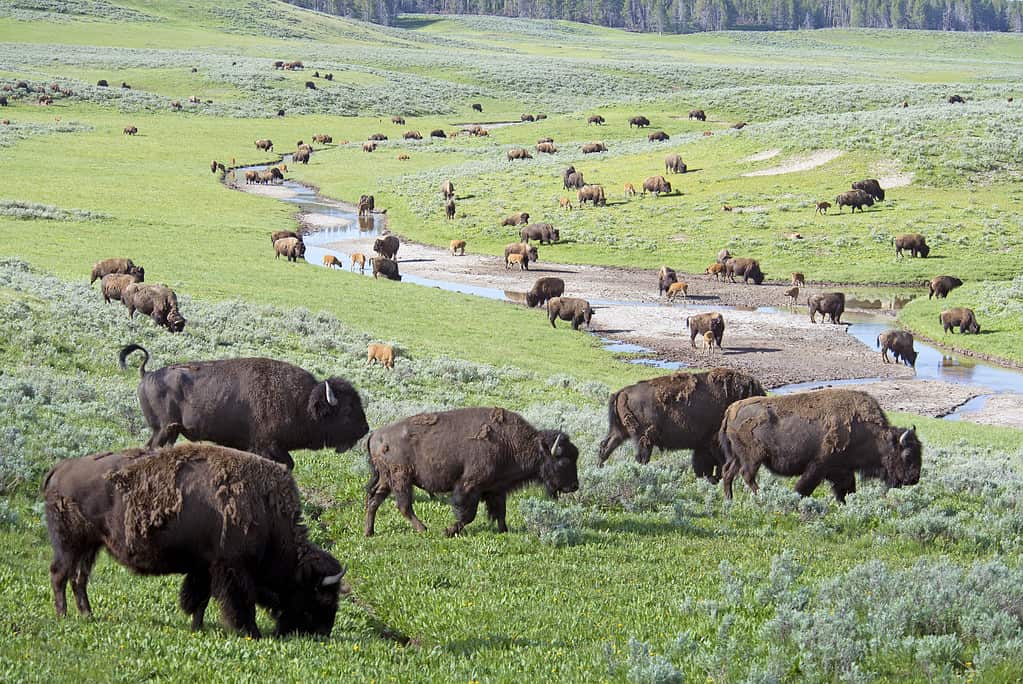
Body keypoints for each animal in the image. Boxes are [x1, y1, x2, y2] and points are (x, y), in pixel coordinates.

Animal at [42, 439, 347, 637]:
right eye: (321, 596)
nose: (322, 633)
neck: (267, 513)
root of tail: (59, 468)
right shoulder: (232, 569)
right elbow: (238, 602)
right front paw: (250, 631)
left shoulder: (204, 567)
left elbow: (199, 599)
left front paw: (197, 627)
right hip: (70, 545)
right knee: (59, 574)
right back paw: (62, 615)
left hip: (90, 546)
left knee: (78, 578)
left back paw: (87, 614)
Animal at [121, 341, 368, 470]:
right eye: (347, 410)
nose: (365, 429)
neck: (303, 402)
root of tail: (147, 374)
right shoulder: (267, 446)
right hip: (164, 429)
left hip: (169, 432)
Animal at [364, 408, 581, 535]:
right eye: (563, 461)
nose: (574, 486)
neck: (511, 443)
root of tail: (376, 434)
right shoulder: (470, 486)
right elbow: (468, 515)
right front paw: (448, 530)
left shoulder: (496, 489)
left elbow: (500, 512)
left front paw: (504, 531)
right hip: (401, 478)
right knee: (403, 505)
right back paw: (423, 528)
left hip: (387, 480)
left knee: (374, 500)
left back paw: (369, 532)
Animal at [597, 368, 769, 480]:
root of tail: (622, 392)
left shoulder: (703, 445)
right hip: (643, 438)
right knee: (640, 457)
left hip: (619, 432)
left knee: (606, 446)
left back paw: (599, 468)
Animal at [716, 388, 924, 500]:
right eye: (907, 455)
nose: (914, 479)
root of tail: (731, 410)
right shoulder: (818, 466)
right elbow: (803, 488)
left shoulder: (842, 470)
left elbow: (847, 490)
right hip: (752, 458)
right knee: (747, 476)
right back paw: (761, 496)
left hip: (737, 457)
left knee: (728, 473)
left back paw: (729, 499)